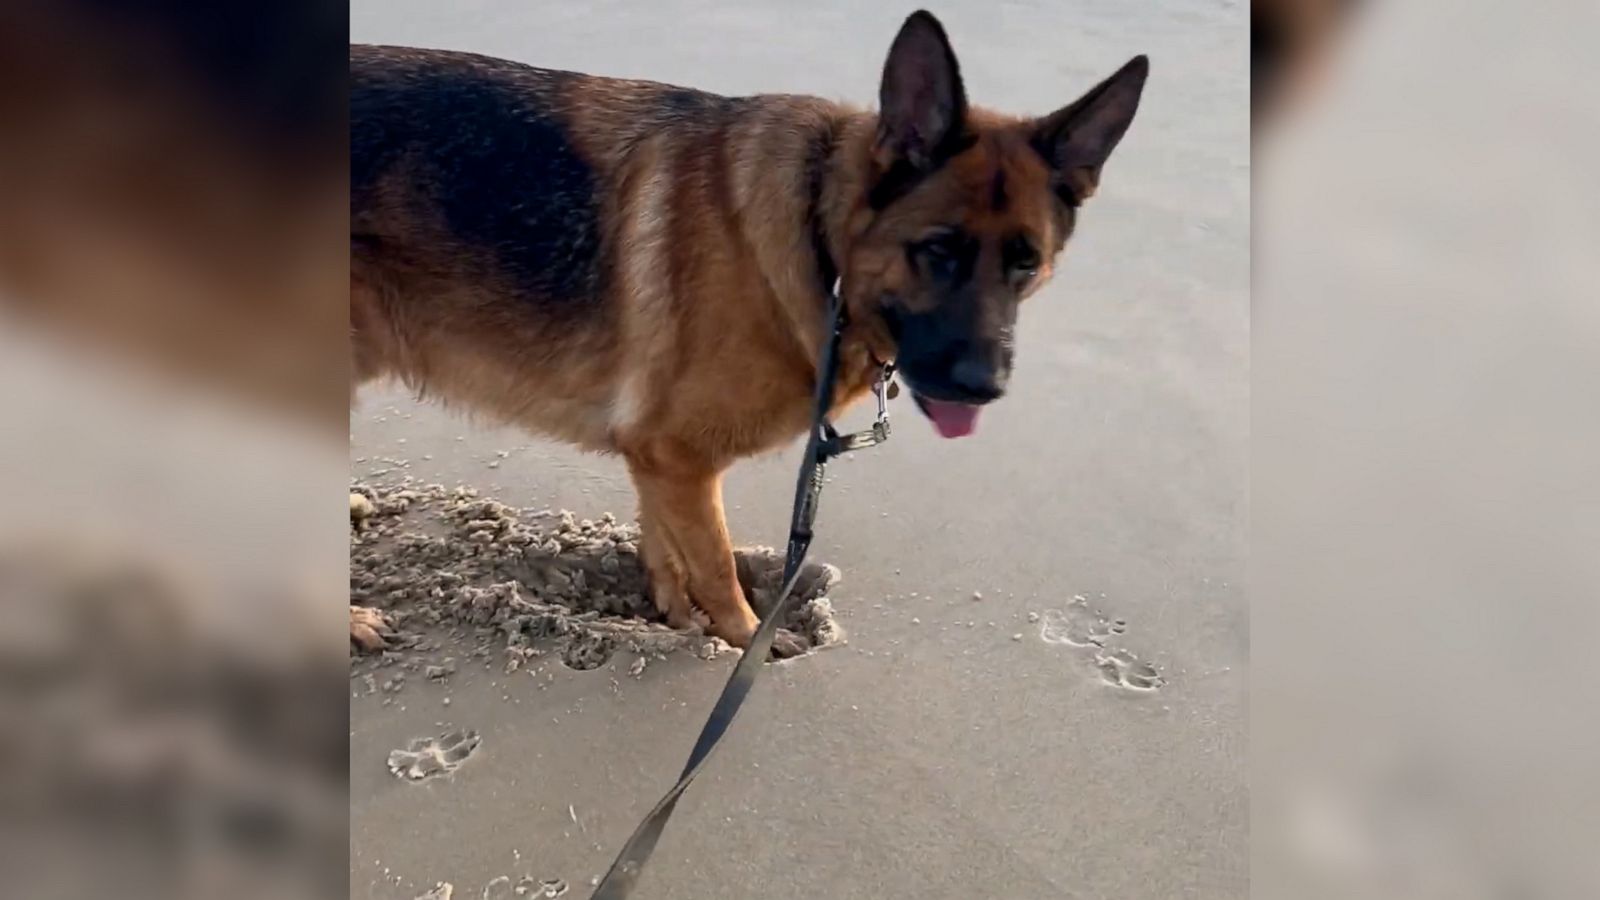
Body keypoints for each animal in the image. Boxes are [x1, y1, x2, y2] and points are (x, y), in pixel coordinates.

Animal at [352, 8, 1152, 650]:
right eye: (938, 251)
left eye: (1026, 263)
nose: (985, 388)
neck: (819, 236)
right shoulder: (678, 455)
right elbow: (715, 565)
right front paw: (744, 643)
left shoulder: (656, 456)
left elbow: (667, 543)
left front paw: (673, 615)